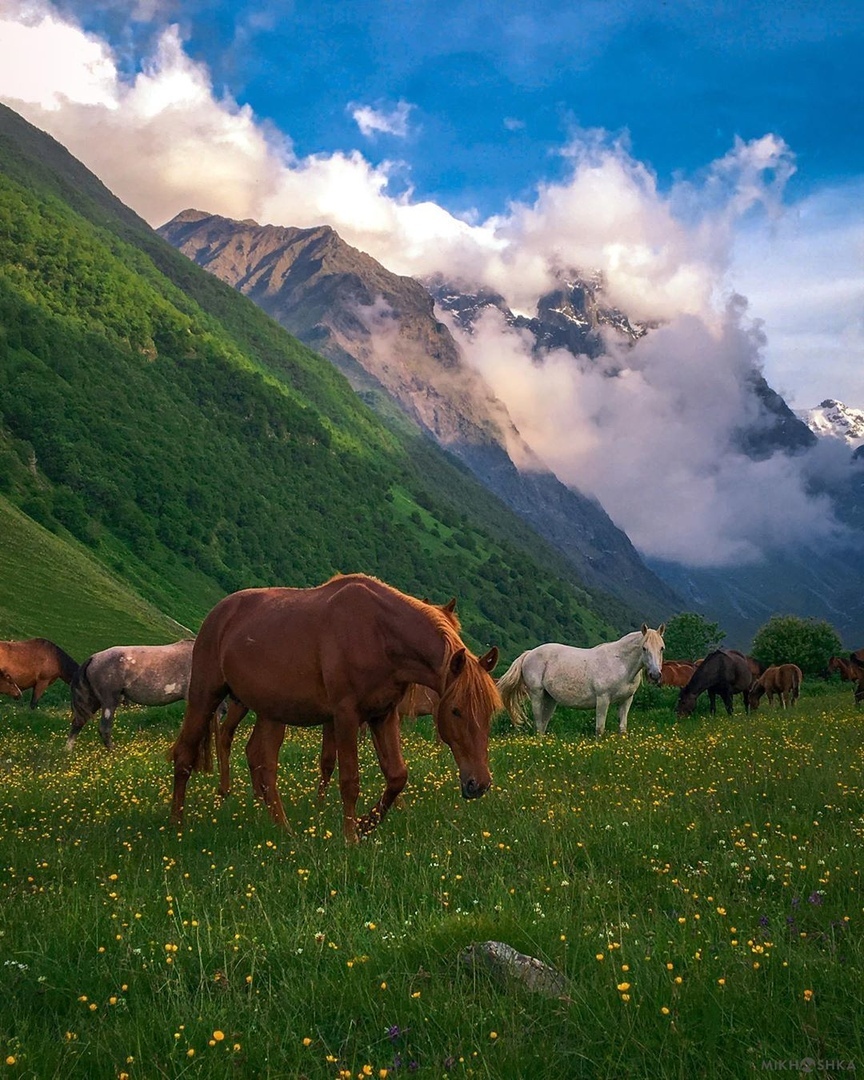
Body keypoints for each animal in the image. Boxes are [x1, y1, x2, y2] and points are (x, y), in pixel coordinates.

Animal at [170, 574, 498, 842]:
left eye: (489, 713)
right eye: (455, 711)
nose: (478, 784)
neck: (378, 633)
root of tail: (219, 612)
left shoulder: (383, 715)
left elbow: (396, 776)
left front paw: (366, 824)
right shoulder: (345, 716)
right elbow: (349, 780)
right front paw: (350, 837)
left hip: (271, 712)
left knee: (262, 764)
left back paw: (283, 829)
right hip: (205, 697)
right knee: (185, 755)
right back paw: (176, 825)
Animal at [496, 622, 665, 738]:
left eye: (662, 648)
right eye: (644, 648)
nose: (655, 675)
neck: (620, 663)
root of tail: (529, 653)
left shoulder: (626, 700)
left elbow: (622, 728)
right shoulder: (603, 699)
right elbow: (600, 728)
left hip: (550, 699)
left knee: (543, 725)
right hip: (537, 695)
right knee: (538, 724)